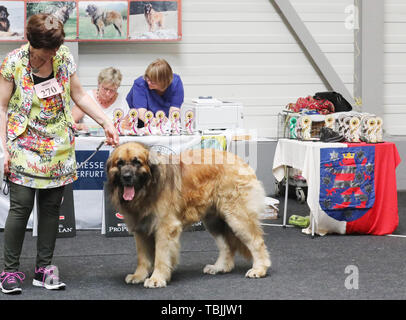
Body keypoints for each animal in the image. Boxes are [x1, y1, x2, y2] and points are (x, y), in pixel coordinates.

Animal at [106, 142, 272, 288]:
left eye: (137, 162)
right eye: (120, 163)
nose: (127, 176)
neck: (148, 188)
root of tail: (241, 161)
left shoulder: (165, 227)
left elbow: (160, 255)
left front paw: (157, 278)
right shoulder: (140, 228)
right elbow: (142, 256)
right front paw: (139, 275)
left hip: (237, 217)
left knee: (257, 242)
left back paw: (259, 269)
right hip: (213, 221)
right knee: (227, 245)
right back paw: (219, 267)